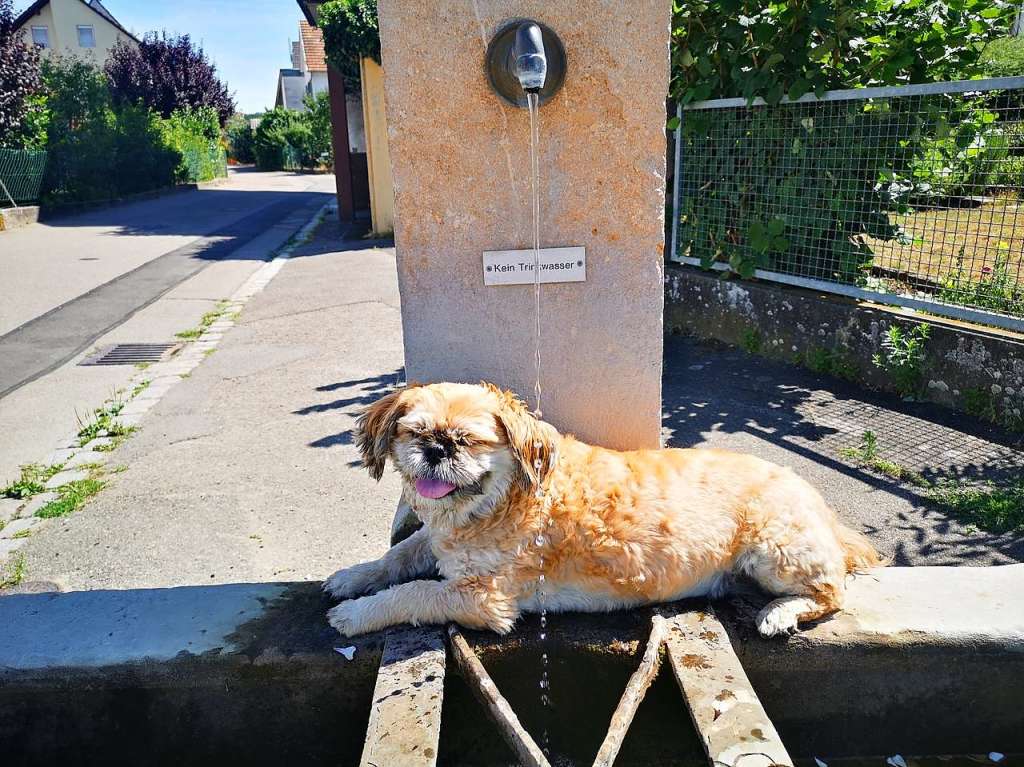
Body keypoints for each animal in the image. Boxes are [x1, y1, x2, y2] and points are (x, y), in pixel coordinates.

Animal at [323, 380, 884, 638]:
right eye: (414, 432)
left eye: (468, 440)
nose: (437, 449)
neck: (500, 503)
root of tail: (817, 501)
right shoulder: (436, 543)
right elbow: (399, 557)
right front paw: (353, 578)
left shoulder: (484, 599)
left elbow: (412, 592)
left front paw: (357, 613)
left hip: (775, 550)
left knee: (832, 592)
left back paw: (780, 612)